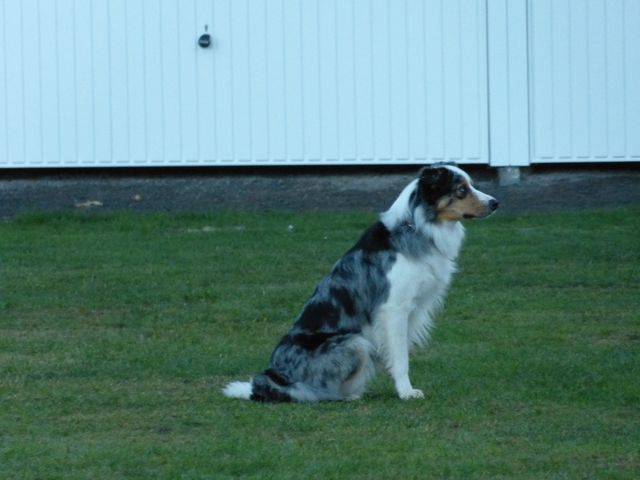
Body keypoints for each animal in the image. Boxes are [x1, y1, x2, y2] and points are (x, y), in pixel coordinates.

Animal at [223, 164, 498, 402]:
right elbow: (401, 357)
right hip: (354, 343)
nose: (496, 203)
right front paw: (406, 392)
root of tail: (275, 378)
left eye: (472, 184)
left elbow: (399, 352)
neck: (417, 227)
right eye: (461, 189)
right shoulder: (394, 308)